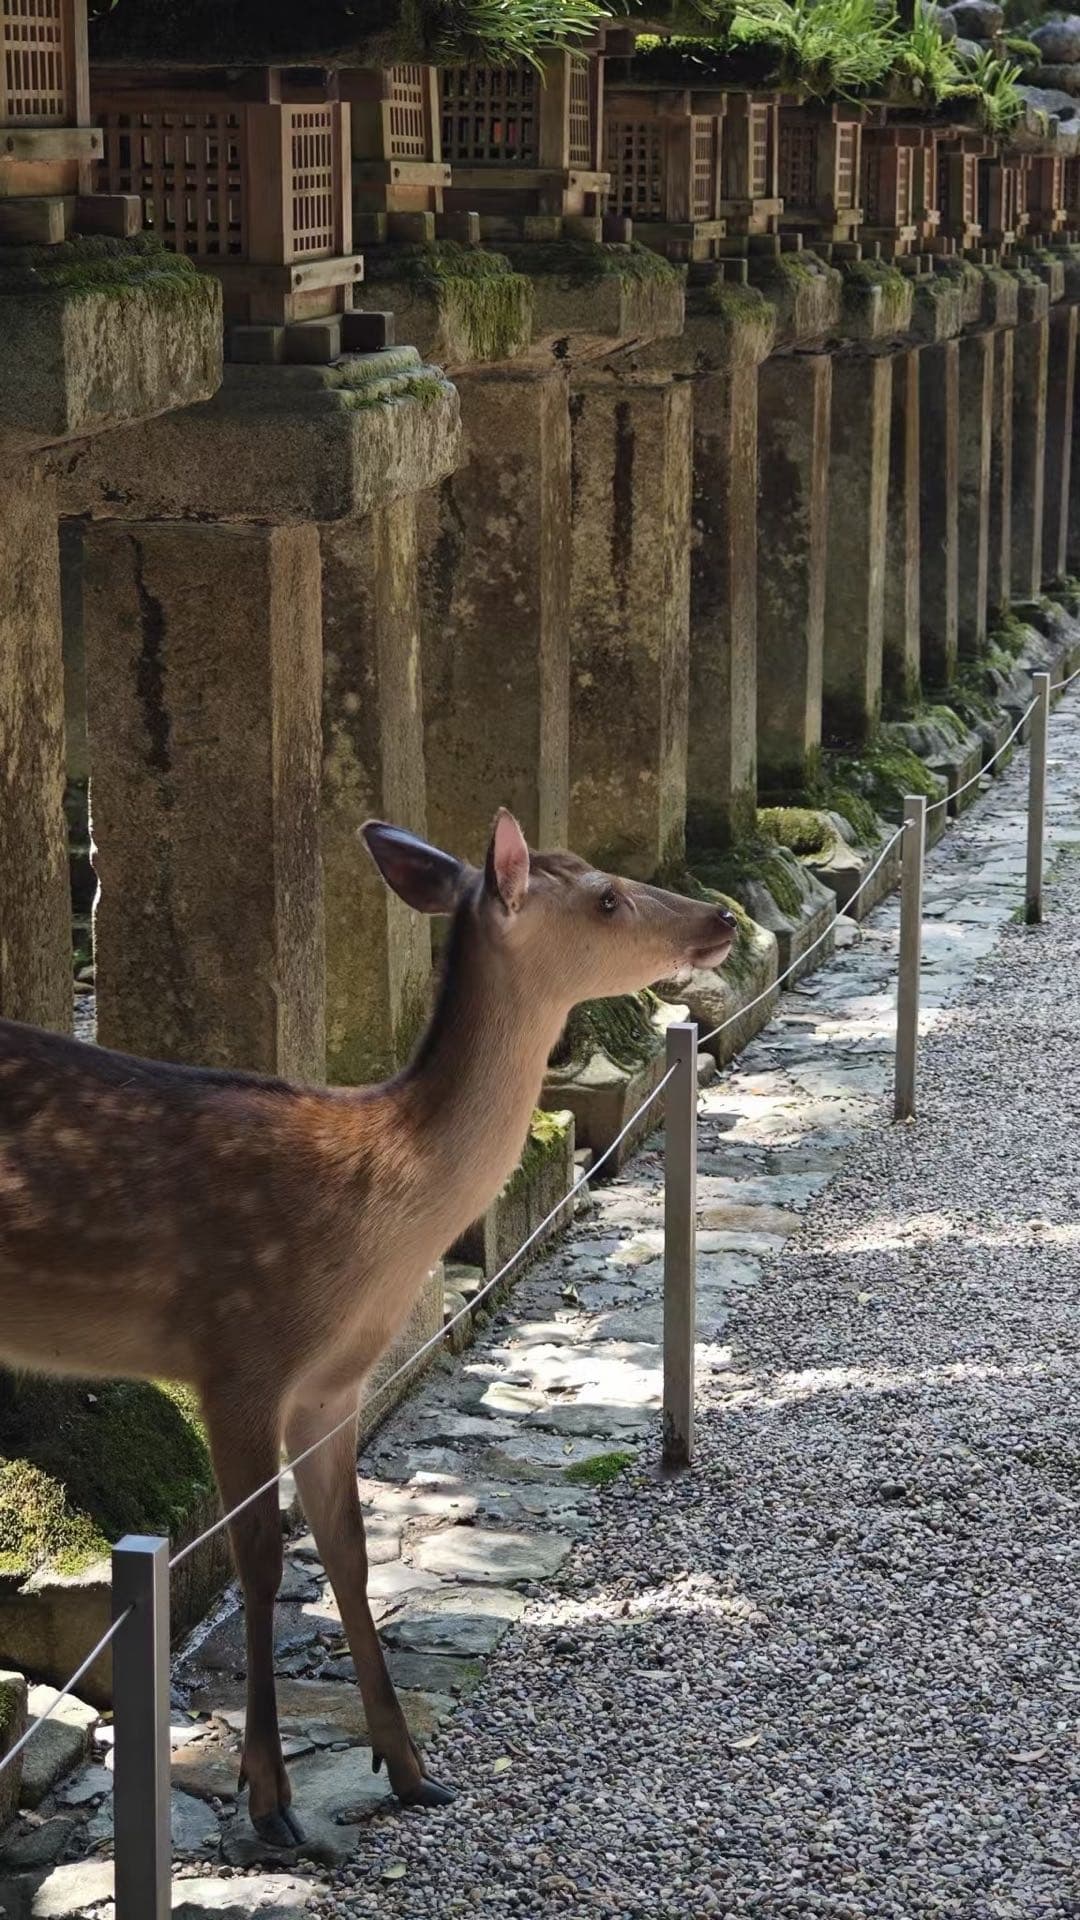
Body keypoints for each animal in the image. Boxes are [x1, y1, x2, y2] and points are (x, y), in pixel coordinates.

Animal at [0, 809, 736, 1847]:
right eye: (605, 897)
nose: (721, 915)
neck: (374, 1230)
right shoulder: (238, 1353)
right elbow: (263, 1563)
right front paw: (269, 1799)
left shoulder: (333, 1384)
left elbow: (346, 1550)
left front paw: (411, 1768)